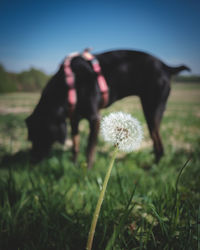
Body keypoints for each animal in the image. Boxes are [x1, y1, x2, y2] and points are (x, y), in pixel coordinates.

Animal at [25, 48, 190, 167]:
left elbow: (90, 148)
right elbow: (75, 146)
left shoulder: (94, 118)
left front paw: (87, 170)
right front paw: (74, 165)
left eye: (40, 136)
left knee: (159, 145)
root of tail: (166, 66)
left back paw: (153, 167)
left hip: (152, 111)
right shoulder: (74, 120)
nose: (31, 161)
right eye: (31, 138)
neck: (71, 83)